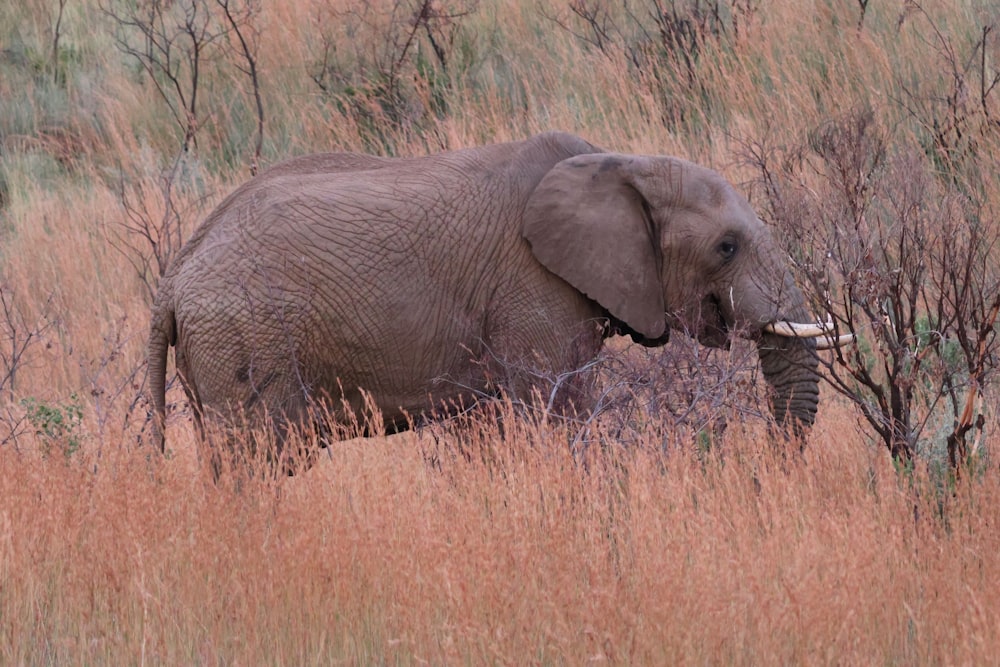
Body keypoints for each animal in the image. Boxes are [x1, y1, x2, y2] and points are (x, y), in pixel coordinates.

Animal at [148, 129, 848, 464]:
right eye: (727, 247)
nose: (768, 469)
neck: (618, 162)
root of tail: (173, 280)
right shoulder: (532, 289)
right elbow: (556, 412)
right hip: (243, 338)